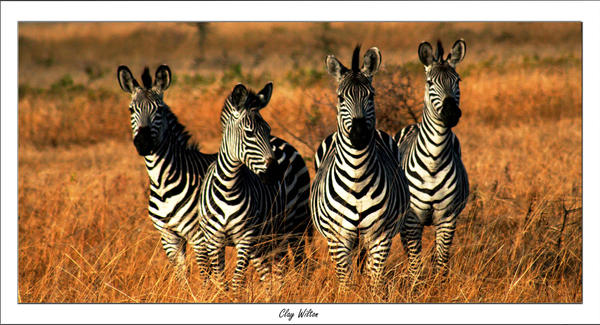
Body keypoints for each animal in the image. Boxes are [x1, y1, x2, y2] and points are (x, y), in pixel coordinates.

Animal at [116, 64, 217, 280]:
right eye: (131, 109)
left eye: (159, 110)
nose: (143, 143)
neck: (161, 183)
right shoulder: (168, 237)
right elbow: (181, 276)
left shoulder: (198, 236)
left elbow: (205, 275)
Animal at [199, 82, 312, 290]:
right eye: (249, 133)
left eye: (267, 129)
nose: (275, 173)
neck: (229, 187)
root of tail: (281, 141)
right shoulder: (213, 240)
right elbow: (221, 281)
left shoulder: (246, 238)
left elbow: (236, 281)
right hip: (267, 238)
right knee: (271, 272)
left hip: (294, 225)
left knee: (296, 264)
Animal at [310, 46, 412, 288]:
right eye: (340, 97)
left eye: (371, 95)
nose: (359, 135)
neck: (356, 177)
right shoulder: (338, 238)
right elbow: (346, 283)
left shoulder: (380, 236)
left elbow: (374, 282)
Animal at [396, 39, 472, 278]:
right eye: (430, 82)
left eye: (458, 81)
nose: (451, 113)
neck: (433, 162)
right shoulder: (411, 221)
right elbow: (415, 266)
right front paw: (415, 286)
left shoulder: (447, 218)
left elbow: (441, 263)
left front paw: (438, 285)